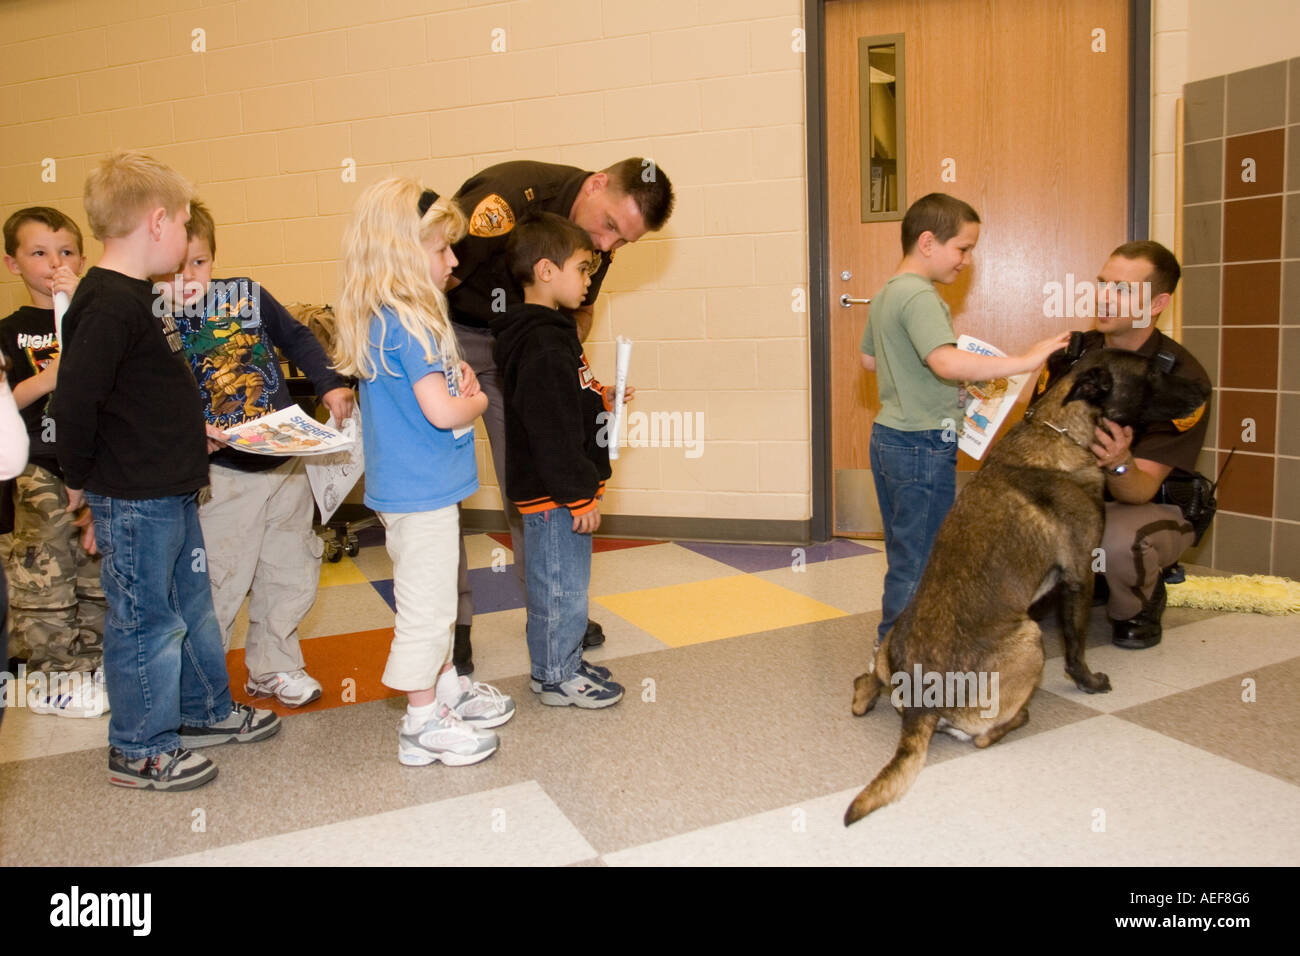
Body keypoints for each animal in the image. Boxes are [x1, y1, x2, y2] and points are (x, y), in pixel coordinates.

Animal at [842, 348, 1206, 827]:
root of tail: (922, 704)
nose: (1205, 388)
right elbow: (1076, 647)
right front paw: (1089, 682)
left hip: (893, 643)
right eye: (1151, 372)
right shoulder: (1081, 574)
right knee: (982, 736)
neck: (1059, 432)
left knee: (866, 683)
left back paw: (866, 692)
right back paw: (1020, 717)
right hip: (1031, 638)